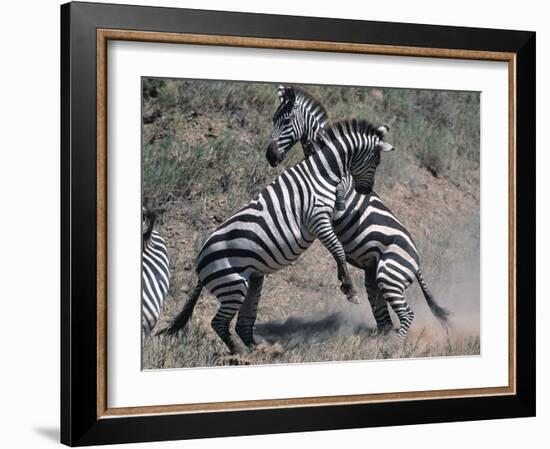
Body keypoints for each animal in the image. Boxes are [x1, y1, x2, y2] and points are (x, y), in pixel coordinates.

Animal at [160, 119, 396, 354]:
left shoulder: (327, 215)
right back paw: (240, 353)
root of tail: (200, 263)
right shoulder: (317, 218)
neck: (321, 172)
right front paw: (349, 289)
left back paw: (258, 349)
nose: (366, 190)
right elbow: (337, 250)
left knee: (242, 322)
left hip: (252, 280)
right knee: (218, 322)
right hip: (233, 285)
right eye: (376, 161)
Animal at [268, 86, 452, 342]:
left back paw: (394, 347)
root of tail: (417, 263)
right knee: (384, 318)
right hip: (374, 277)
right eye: (273, 119)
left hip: (389, 274)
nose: (270, 156)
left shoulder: (339, 195)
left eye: (286, 121)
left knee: (405, 314)